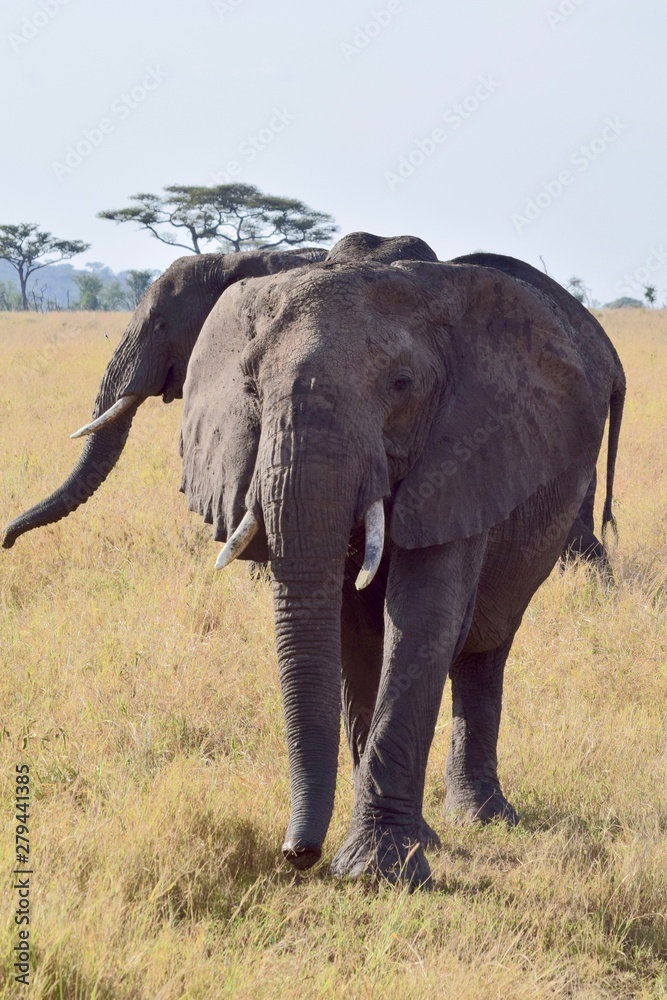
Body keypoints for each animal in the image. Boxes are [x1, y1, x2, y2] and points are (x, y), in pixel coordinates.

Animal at [178, 231, 625, 884]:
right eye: (252, 388)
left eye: (402, 384)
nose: (297, 855)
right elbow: (354, 632)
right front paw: (393, 850)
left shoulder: (466, 453)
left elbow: (420, 623)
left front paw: (378, 871)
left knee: (486, 644)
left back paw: (483, 817)